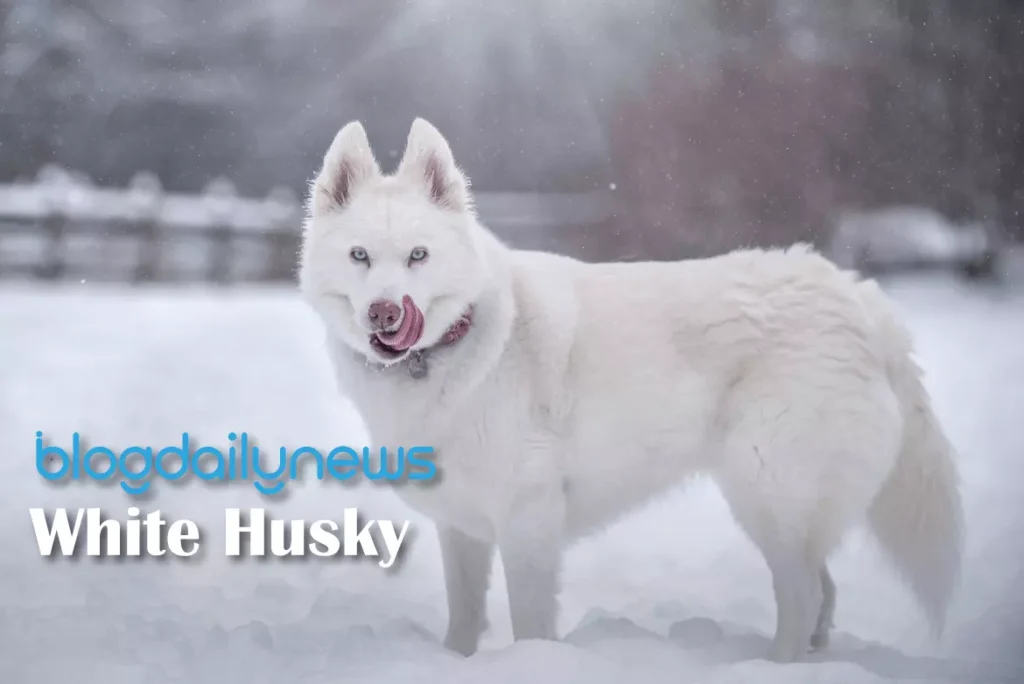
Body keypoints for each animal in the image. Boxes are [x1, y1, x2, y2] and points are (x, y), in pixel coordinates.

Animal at [296, 117, 958, 663]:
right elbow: (464, 617)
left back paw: (775, 668)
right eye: (359, 256)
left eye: (418, 255)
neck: (457, 347)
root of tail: (855, 295)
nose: (385, 313)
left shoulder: (528, 521)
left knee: (803, 595)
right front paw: (455, 662)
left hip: (767, 491)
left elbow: (530, 622)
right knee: (824, 591)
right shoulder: (462, 529)